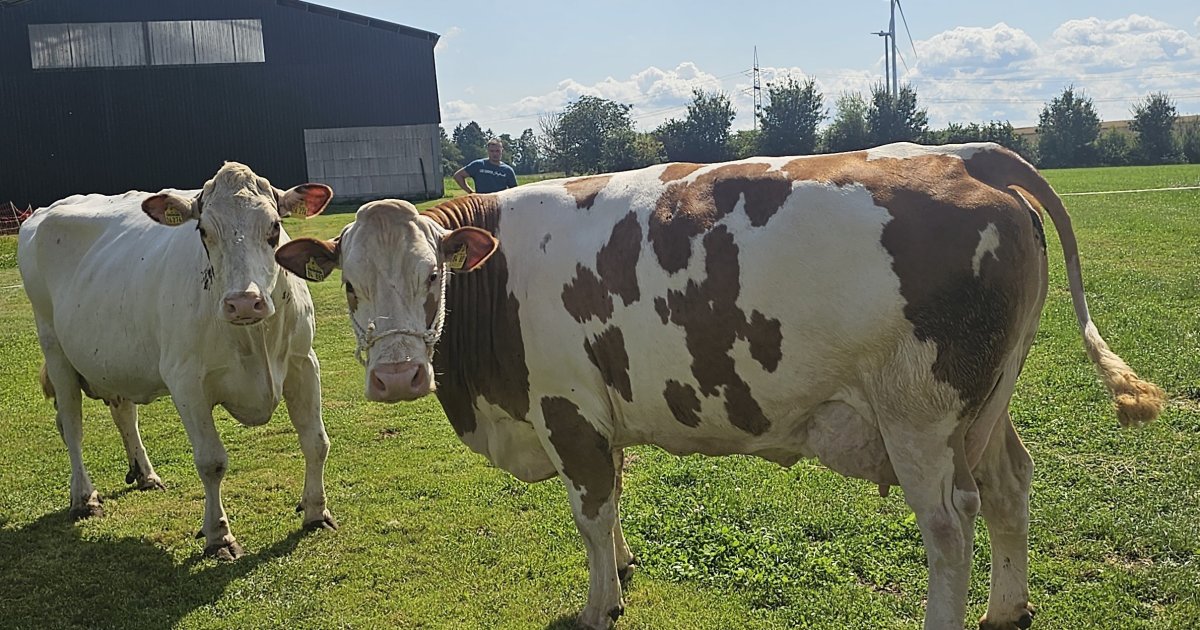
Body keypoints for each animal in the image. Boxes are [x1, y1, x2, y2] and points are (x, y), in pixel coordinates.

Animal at [19, 162, 338, 560]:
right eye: (203, 231)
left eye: (275, 228)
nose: (244, 302)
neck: (254, 340)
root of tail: (42, 213)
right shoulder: (186, 383)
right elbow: (211, 461)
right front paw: (219, 535)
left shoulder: (302, 363)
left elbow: (316, 441)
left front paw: (316, 512)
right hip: (55, 349)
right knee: (72, 427)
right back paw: (84, 497)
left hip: (114, 360)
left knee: (124, 415)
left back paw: (146, 475)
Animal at [275, 143, 1165, 629]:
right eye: (348, 285)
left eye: (433, 279)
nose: (396, 375)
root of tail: (967, 156)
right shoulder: (600, 411)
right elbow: (613, 503)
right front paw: (625, 570)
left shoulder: (566, 408)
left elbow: (589, 514)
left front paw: (601, 602)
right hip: (987, 403)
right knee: (1011, 485)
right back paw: (1007, 606)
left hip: (921, 415)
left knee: (950, 523)